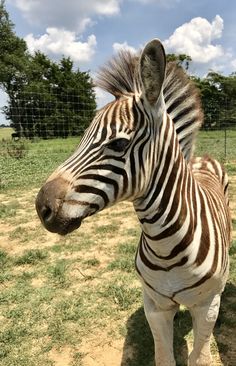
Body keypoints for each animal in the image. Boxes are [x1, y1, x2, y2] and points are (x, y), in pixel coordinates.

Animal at [36, 40, 231, 366]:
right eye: (82, 138)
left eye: (119, 144)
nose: (42, 208)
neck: (166, 245)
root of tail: (203, 159)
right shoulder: (154, 305)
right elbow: (164, 358)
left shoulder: (208, 308)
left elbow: (199, 358)